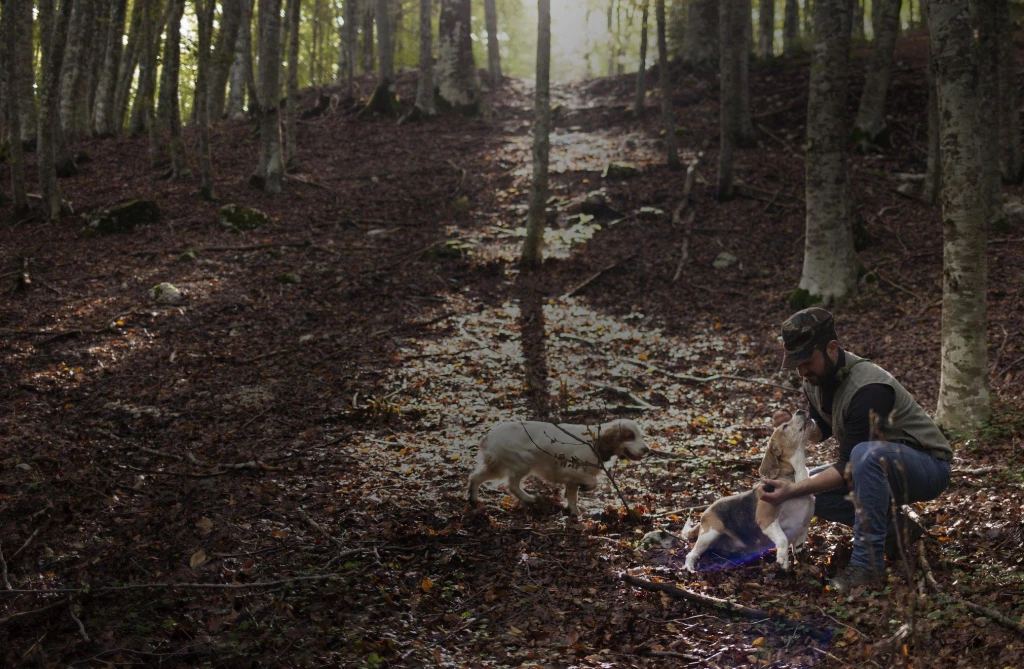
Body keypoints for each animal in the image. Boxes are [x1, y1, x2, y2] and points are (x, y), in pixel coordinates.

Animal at [468, 417, 651, 516]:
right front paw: (584, 492)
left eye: (640, 435)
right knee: (511, 485)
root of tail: (489, 437)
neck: (594, 443)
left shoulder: (571, 481)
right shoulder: (571, 471)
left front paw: (574, 512)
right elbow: (592, 482)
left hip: (499, 465)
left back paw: (473, 499)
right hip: (521, 463)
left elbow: (572, 497)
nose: (647, 449)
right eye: (629, 436)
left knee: (475, 477)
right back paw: (530, 498)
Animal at [684, 409, 819, 569]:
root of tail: (705, 513)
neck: (796, 479)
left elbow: (799, 551)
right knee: (691, 554)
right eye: (785, 426)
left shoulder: (803, 528)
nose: (800, 410)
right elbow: (782, 539)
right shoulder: (766, 520)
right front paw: (782, 560)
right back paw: (690, 568)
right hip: (709, 534)